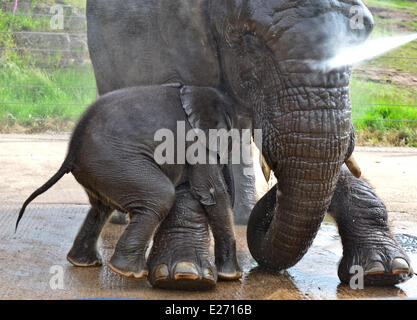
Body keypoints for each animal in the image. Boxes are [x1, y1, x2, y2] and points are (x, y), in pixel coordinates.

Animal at [17, 84, 240, 288]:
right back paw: (130, 271)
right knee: (161, 196)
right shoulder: (197, 143)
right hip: (115, 162)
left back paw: (85, 263)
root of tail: (71, 154)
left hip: (105, 171)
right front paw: (231, 276)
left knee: (101, 208)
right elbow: (212, 192)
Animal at [86, 0, 412, 288]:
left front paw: (383, 271)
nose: (273, 196)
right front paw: (183, 275)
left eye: (360, 37)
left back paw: (241, 214)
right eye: (250, 44)